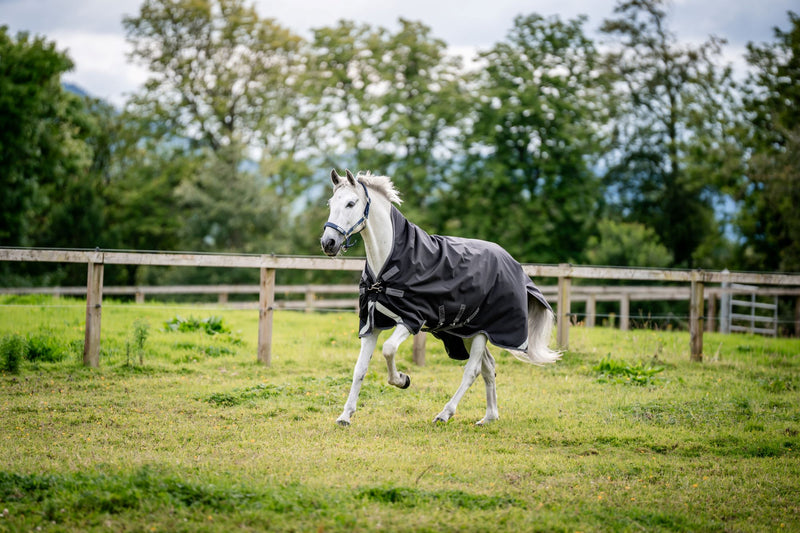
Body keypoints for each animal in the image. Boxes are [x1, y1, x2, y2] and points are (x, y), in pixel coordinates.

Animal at [320, 169, 560, 426]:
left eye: (351, 203)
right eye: (331, 203)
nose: (328, 243)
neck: (388, 266)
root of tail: (513, 263)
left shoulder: (411, 320)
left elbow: (388, 350)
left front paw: (403, 380)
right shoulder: (371, 324)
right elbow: (360, 369)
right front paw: (345, 416)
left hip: (482, 332)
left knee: (473, 371)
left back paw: (445, 414)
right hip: (467, 332)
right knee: (488, 368)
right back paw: (489, 417)